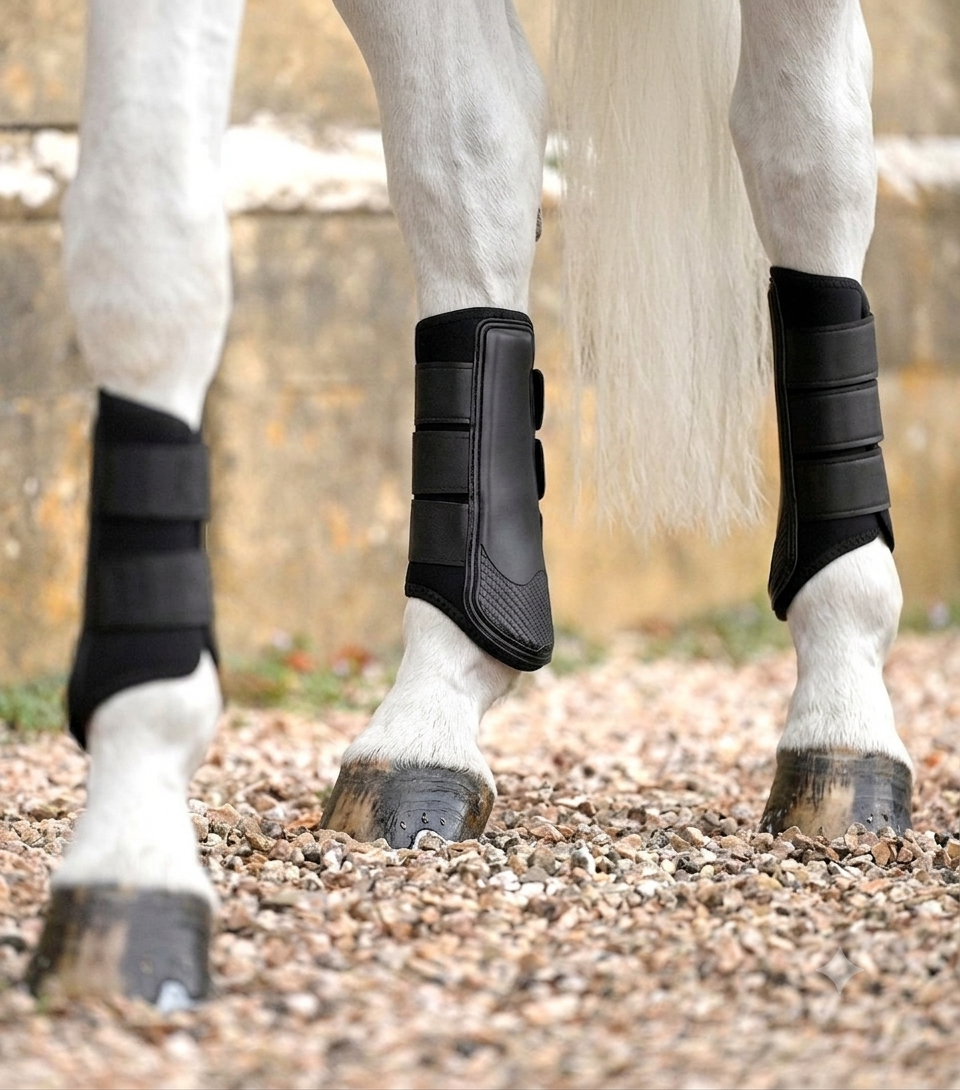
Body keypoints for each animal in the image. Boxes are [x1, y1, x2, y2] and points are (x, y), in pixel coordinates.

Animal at [22, 0, 911, 1006]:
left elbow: (148, 258)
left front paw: (132, 851)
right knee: (473, 148)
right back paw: (426, 726)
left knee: (807, 142)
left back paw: (846, 719)